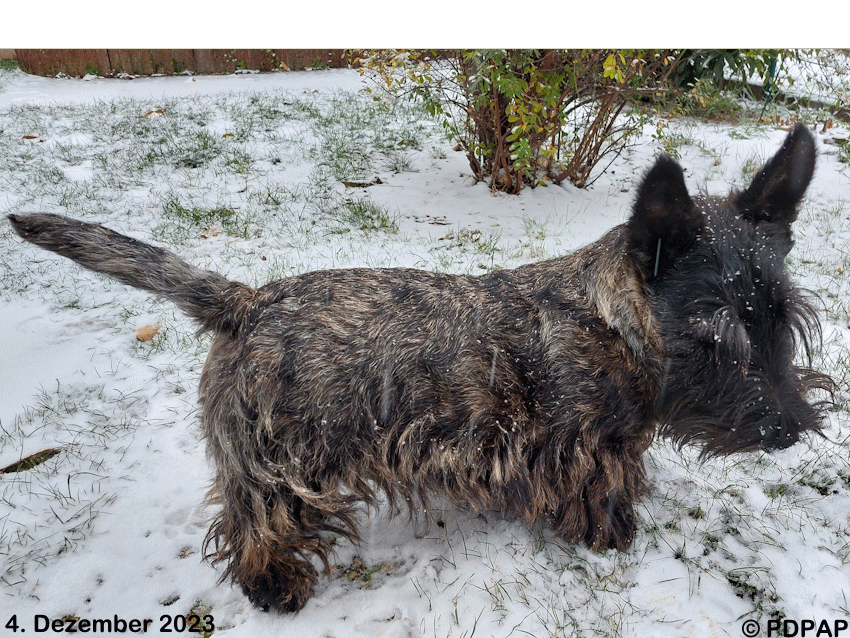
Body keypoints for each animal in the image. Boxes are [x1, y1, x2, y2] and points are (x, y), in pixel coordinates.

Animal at [8, 124, 828, 616]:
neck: (616, 327)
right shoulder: (581, 448)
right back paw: (276, 585)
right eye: (713, 339)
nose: (790, 429)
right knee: (256, 521)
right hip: (281, 461)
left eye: (784, 320)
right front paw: (610, 533)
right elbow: (594, 493)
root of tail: (246, 302)